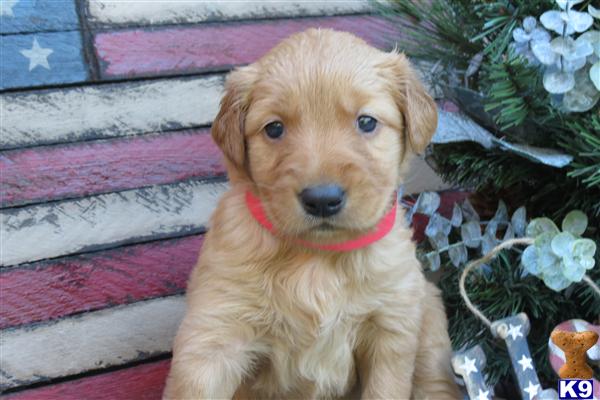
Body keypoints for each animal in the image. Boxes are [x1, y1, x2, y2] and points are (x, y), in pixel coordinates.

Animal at [164, 28, 460, 400]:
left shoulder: (391, 329)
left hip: (428, 319)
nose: (322, 199)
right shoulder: (214, 335)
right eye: (274, 128)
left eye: (366, 122)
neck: (319, 258)